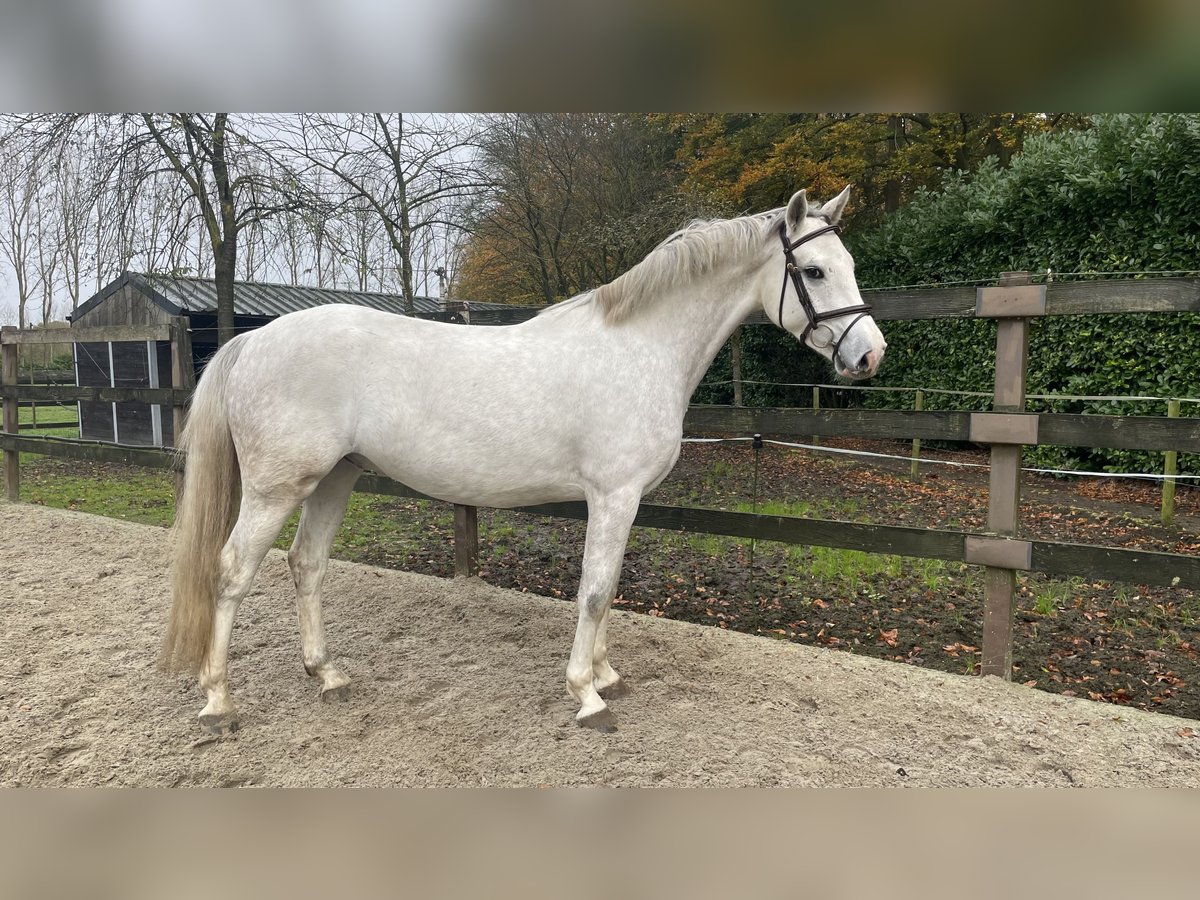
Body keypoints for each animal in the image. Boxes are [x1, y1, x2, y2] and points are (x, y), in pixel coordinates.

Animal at [164, 188, 888, 734]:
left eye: (848, 262)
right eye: (815, 271)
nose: (870, 355)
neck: (638, 347)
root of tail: (253, 340)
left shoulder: (623, 502)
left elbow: (608, 587)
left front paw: (606, 676)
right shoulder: (613, 495)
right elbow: (594, 590)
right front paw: (586, 695)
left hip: (335, 477)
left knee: (306, 565)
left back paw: (328, 675)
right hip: (276, 487)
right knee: (231, 571)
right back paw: (219, 699)